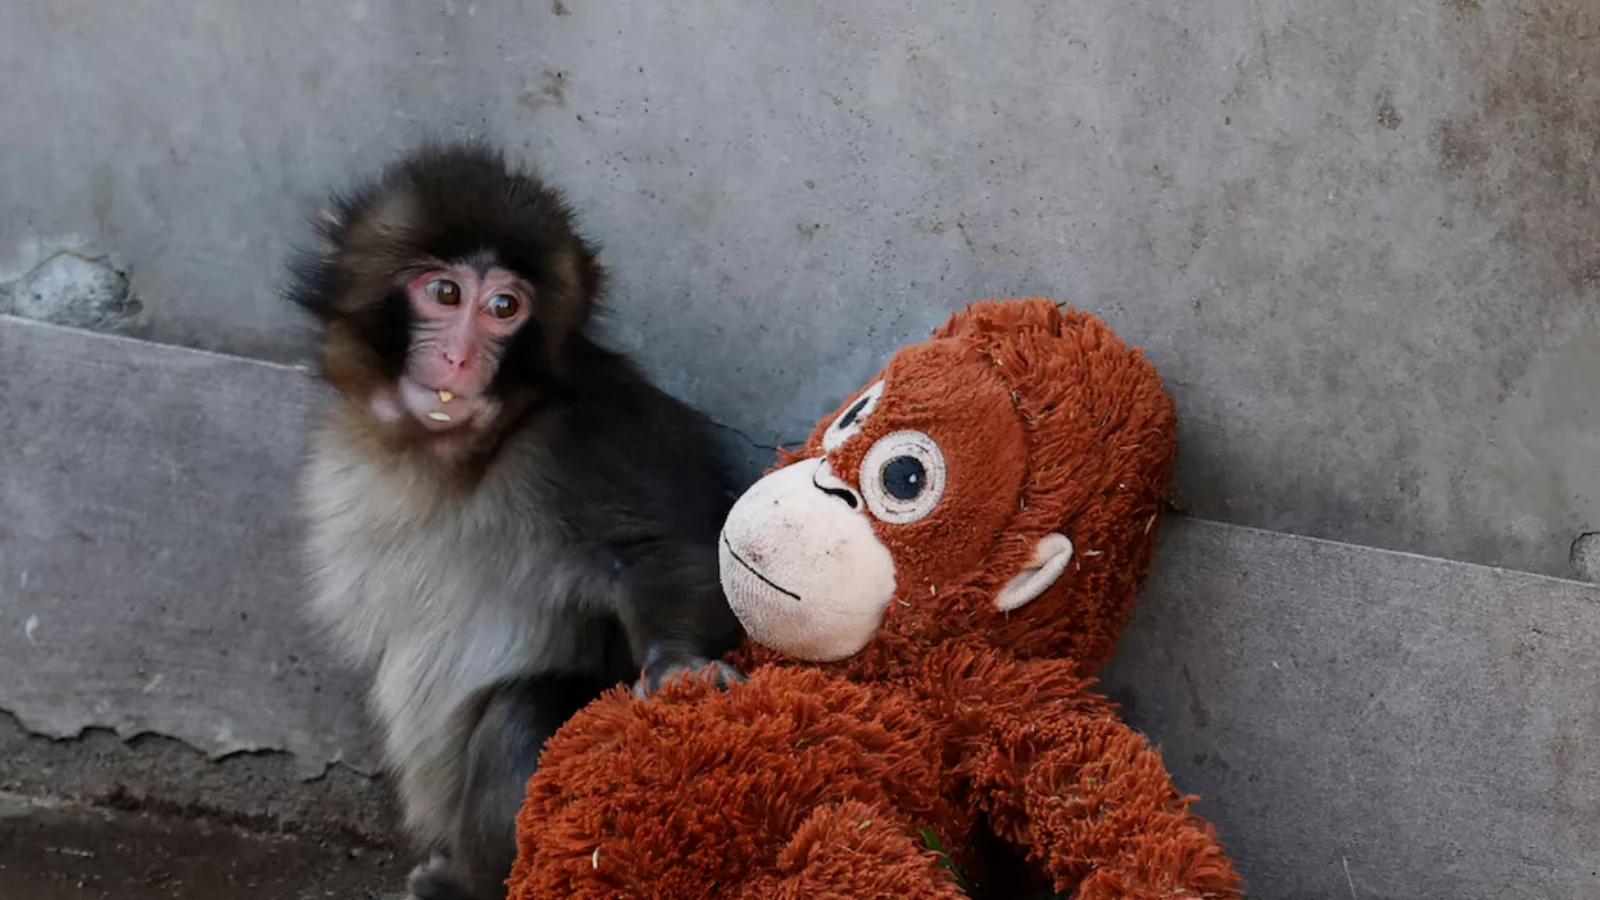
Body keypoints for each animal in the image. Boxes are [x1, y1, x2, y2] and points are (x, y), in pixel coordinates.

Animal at [284, 142, 746, 900]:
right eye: (445, 294)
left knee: (523, 718)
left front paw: (680, 665)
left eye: (505, 307)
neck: (462, 454)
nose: (461, 357)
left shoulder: (585, 439)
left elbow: (667, 552)